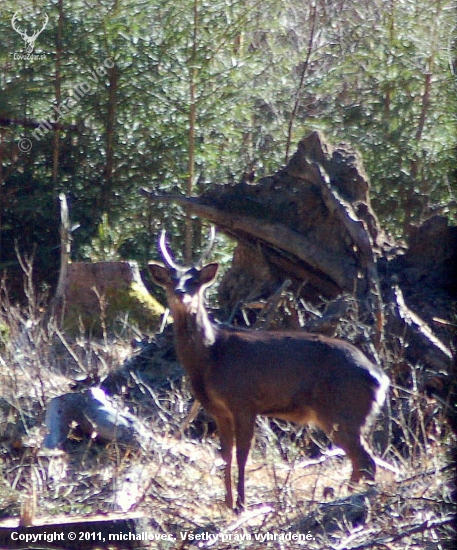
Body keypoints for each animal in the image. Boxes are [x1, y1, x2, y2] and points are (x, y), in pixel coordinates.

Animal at [150, 231, 388, 516]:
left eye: (194, 282)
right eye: (171, 279)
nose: (180, 293)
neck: (211, 357)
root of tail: (380, 378)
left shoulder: (244, 401)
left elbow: (242, 453)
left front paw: (242, 504)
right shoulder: (219, 409)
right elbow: (226, 454)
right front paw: (228, 502)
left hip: (344, 410)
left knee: (366, 461)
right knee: (360, 461)